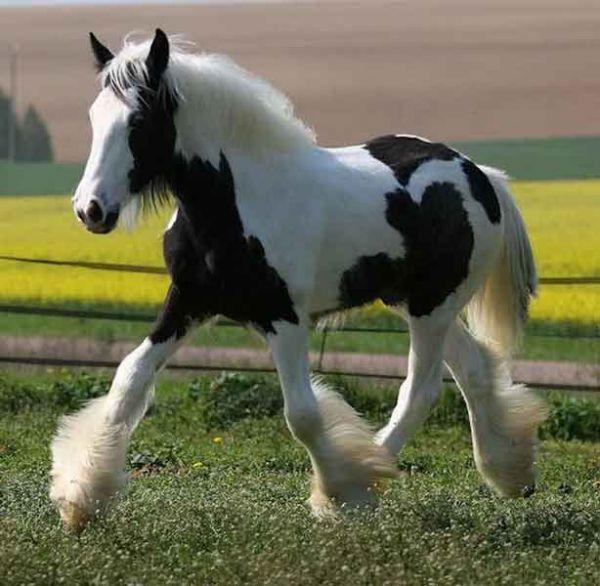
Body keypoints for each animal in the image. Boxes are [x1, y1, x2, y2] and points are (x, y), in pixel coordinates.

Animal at [51, 28, 548, 528]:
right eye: (94, 116)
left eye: (138, 122)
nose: (90, 210)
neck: (237, 203)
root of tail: (480, 176)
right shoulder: (189, 301)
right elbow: (129, 379)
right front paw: (81, 497)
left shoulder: (284, 318)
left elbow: (303, 414)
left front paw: (340, 491)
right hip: (413, 303)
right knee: (474, 367)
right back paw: (508, 471)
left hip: (433, 307)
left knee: (420, 391)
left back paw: (372, 478)